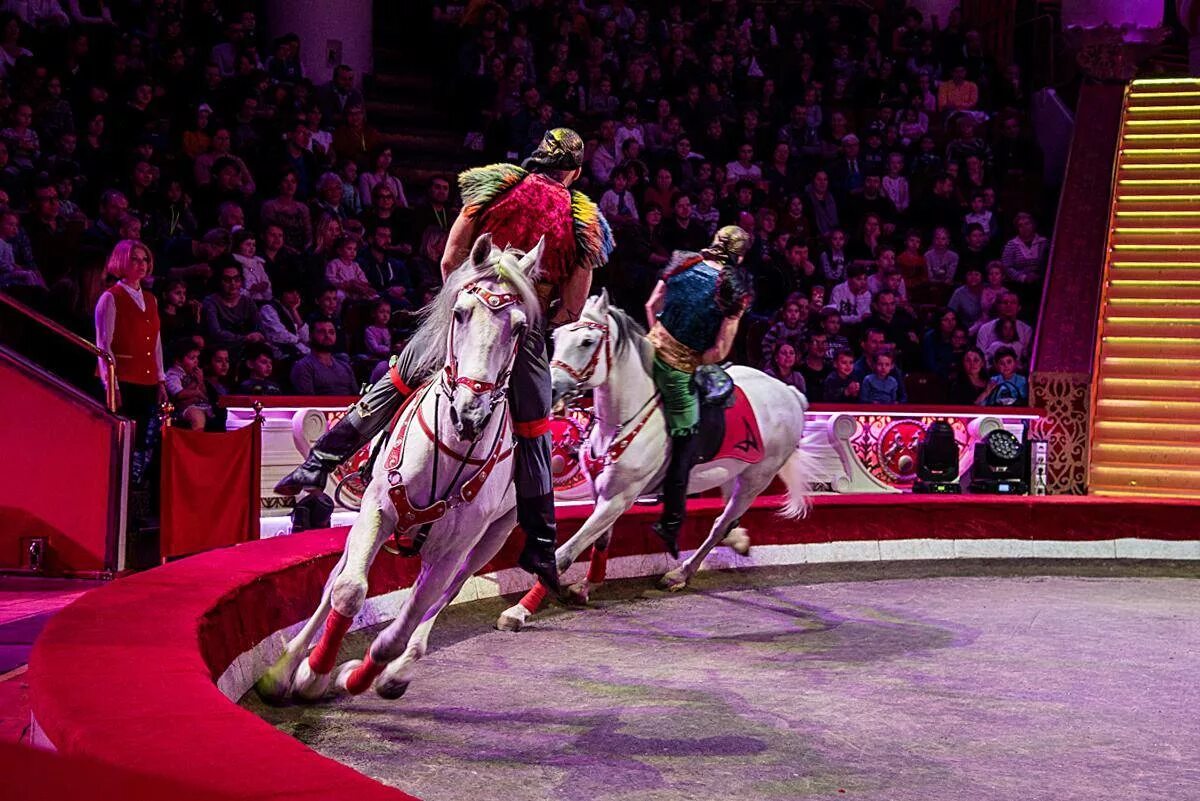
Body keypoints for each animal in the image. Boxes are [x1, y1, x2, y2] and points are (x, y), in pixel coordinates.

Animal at [261, 232, 544, 700]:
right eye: (461, 313)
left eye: (520, 327)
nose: (470, 413)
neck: (451, 448)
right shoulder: (377, 507)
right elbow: (348, 590)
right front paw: (306, 674)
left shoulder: (457, 545)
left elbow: (400, 629)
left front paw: (357, 675)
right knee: (335, 581)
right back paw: (288, 668)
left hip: (490, 536)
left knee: (444, 592)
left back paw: (396, 671)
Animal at [496, 288, 816, 633]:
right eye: (556, 336)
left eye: (587, 342)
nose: (551, 391)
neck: (623, 419)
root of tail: (789, 393)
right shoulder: (603, 494)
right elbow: (599, 541)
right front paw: (585, 586)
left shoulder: (619, 498)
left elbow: (565, 553)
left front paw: (519, 611)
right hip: (733, 472)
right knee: (728, 518)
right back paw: (737, 540)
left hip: (757, 478)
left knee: (720, 523)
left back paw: (680, 573)